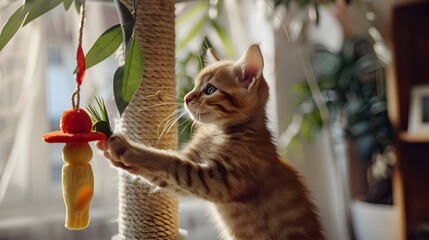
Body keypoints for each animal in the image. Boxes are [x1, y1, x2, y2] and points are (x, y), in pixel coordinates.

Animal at [98, 44, 324, 238]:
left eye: (209, 90)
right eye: (195, 85)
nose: (187, 97)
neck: (217, 132)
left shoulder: (218, 180)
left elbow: (171, 162)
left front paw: (129, 149)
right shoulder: (192, 168)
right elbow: (162, 176)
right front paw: (112, 151)